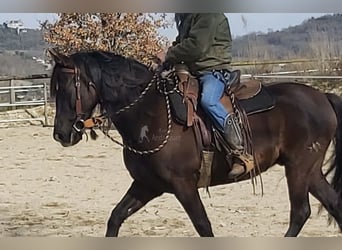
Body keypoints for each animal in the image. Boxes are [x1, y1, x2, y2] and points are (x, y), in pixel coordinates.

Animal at [47, 48, 342, 236]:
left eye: (67, 87)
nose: (61, 134)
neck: (150, 113)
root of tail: (322, 97)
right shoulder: (146, 185)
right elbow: (115, 218)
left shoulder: (184, 186)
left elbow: (203, 226)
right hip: (310, 170)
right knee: (333, 204)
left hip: (299, 167)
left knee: (300, 212)